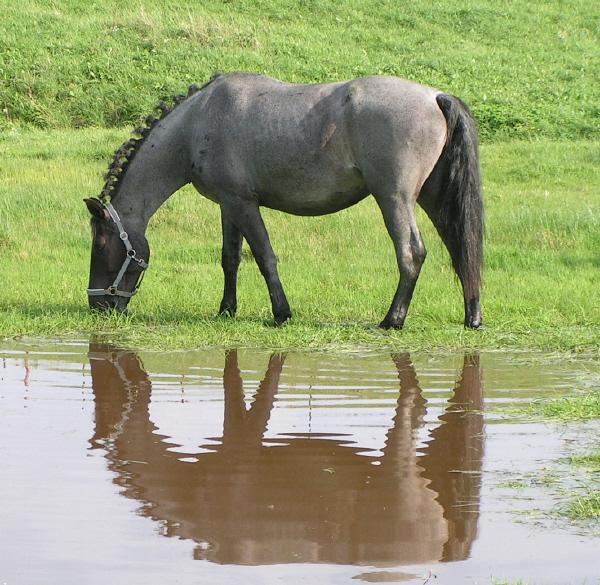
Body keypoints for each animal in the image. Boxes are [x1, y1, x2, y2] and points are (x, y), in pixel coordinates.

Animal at [84, 73, 486, 328]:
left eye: (100, 243)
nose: (98, 304)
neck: (200, 120)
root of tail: (435, 96)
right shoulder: (228, 206)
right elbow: (230, 259)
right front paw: (226, 310)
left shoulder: (244, 204)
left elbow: (264, 257)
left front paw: (281, 313)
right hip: (433, 199)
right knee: (461, 249)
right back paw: (472, 316)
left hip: (394, 199)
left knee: (411, 253)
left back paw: (392, 320)